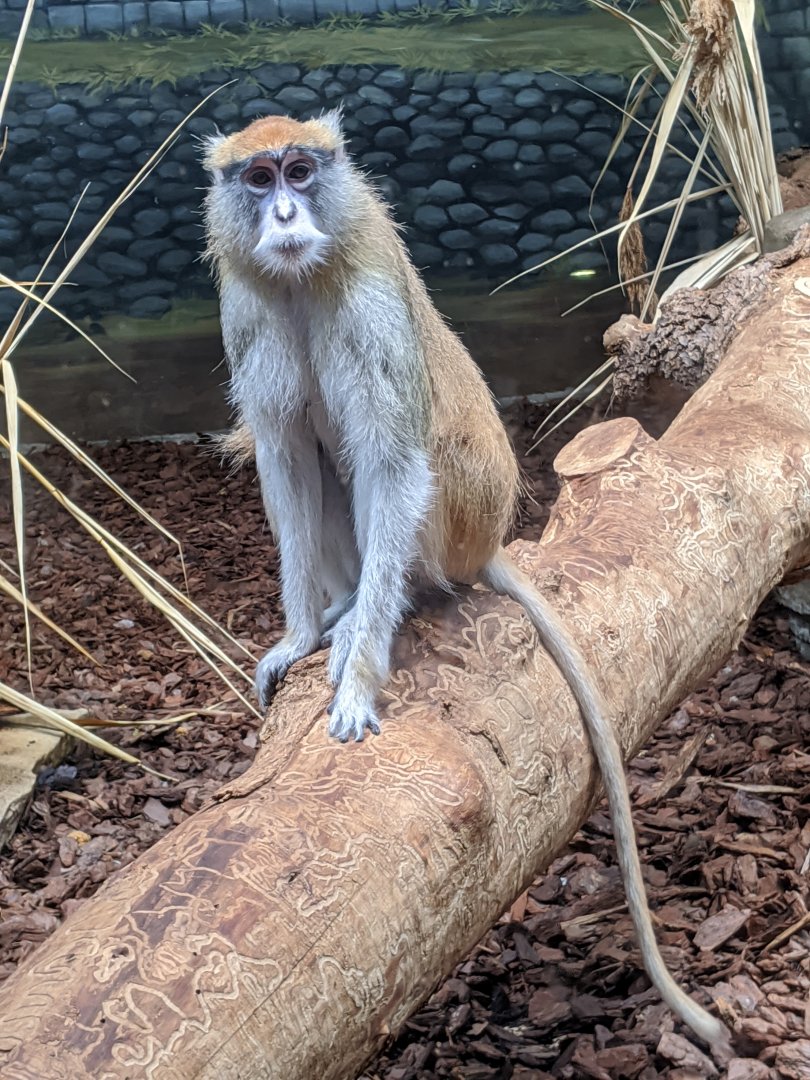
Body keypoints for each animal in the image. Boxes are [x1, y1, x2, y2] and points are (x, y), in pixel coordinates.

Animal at [201, 110, 732, 1056]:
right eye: (258, 180)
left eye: (301, 171)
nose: (287, 213)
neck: (302, 281)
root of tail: (490, 537)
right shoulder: (248, 313)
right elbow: (285, 455)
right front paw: (300, 636)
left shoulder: (369, 306)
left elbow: (395, 460)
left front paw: (357, 675)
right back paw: (341, 608)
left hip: (460, 512)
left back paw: (378, 610)